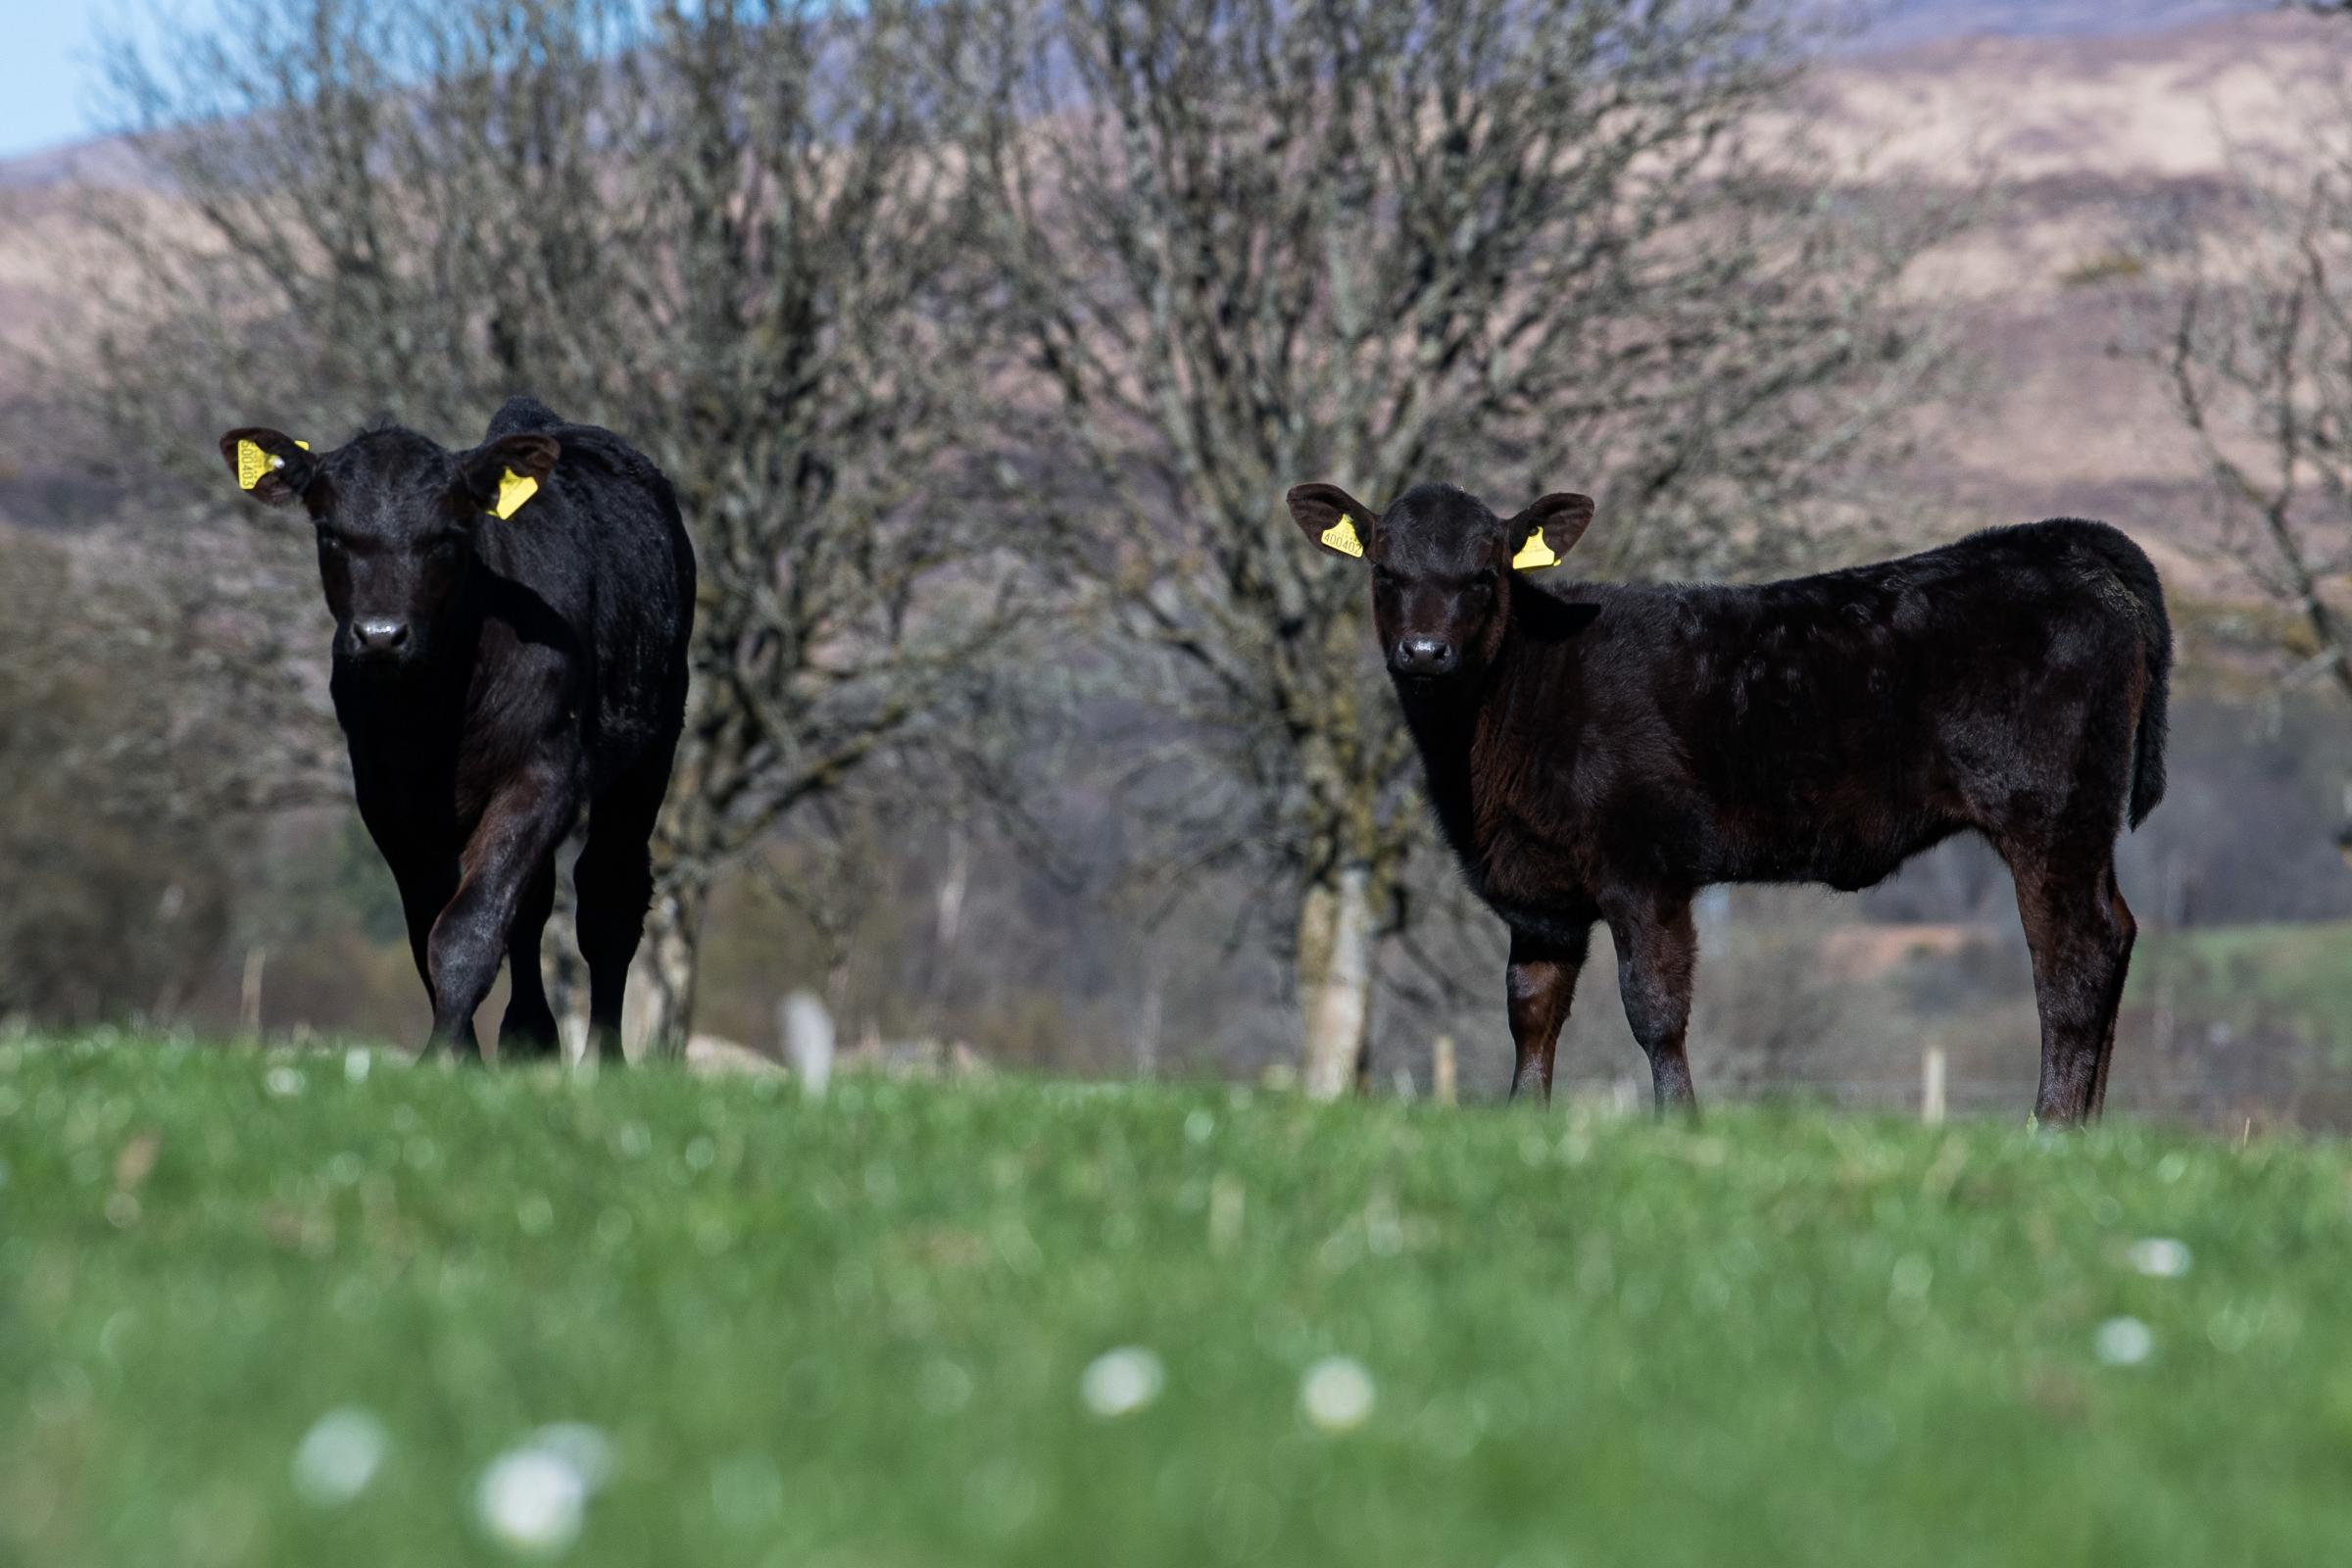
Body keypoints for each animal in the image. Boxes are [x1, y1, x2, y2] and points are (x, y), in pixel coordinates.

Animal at [220, 402, 691, 1067]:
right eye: (330, 533)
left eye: (446, 535)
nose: (381, 635)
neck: (434, 710)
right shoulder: (386, 798)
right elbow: (431, 926)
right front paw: (462, 1058)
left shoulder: (542, 775)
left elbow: (467, 928)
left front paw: (442, 1054)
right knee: (535, 905)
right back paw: (528, 1039)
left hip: (653, 743)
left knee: (608, 896)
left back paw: (604, 1058)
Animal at [1289, 484, 2164, 1123]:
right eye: (1385, 574)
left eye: (1484, 576)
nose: (1424, 651)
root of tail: (2063, 540)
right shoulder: (1538, 894)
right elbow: (1531, 1011)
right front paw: (1522, 1121)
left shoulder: (1644, 867)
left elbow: (1653, 1006)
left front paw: (1679, 1122)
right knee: (2116, 934)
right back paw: (2089, 1129)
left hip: (2047, 812)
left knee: (2074, 956)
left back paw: (2052, 1126)